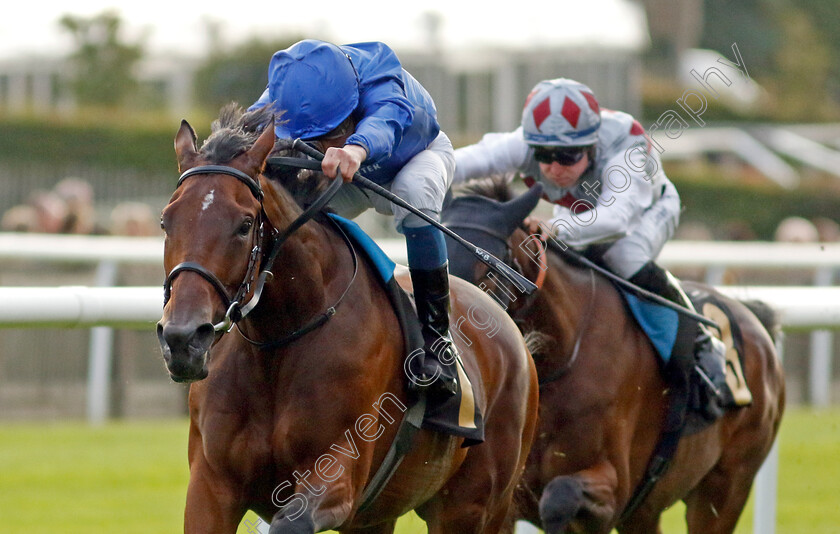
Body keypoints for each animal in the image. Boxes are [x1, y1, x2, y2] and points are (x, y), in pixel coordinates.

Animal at [157, 107, 540, 532]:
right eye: (166, 221)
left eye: (243, 226)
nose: (183, 338)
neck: (278, 341)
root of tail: (513, 337)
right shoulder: (210, 486)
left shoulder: (338, 474)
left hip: (471, 506)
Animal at [440, 181, 788, 534]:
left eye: (488, 270)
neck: (562, 356)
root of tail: (756, 319)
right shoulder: (502, 499)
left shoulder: (614, 492)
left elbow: (559, 497)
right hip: (646, 511)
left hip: (725, 486)